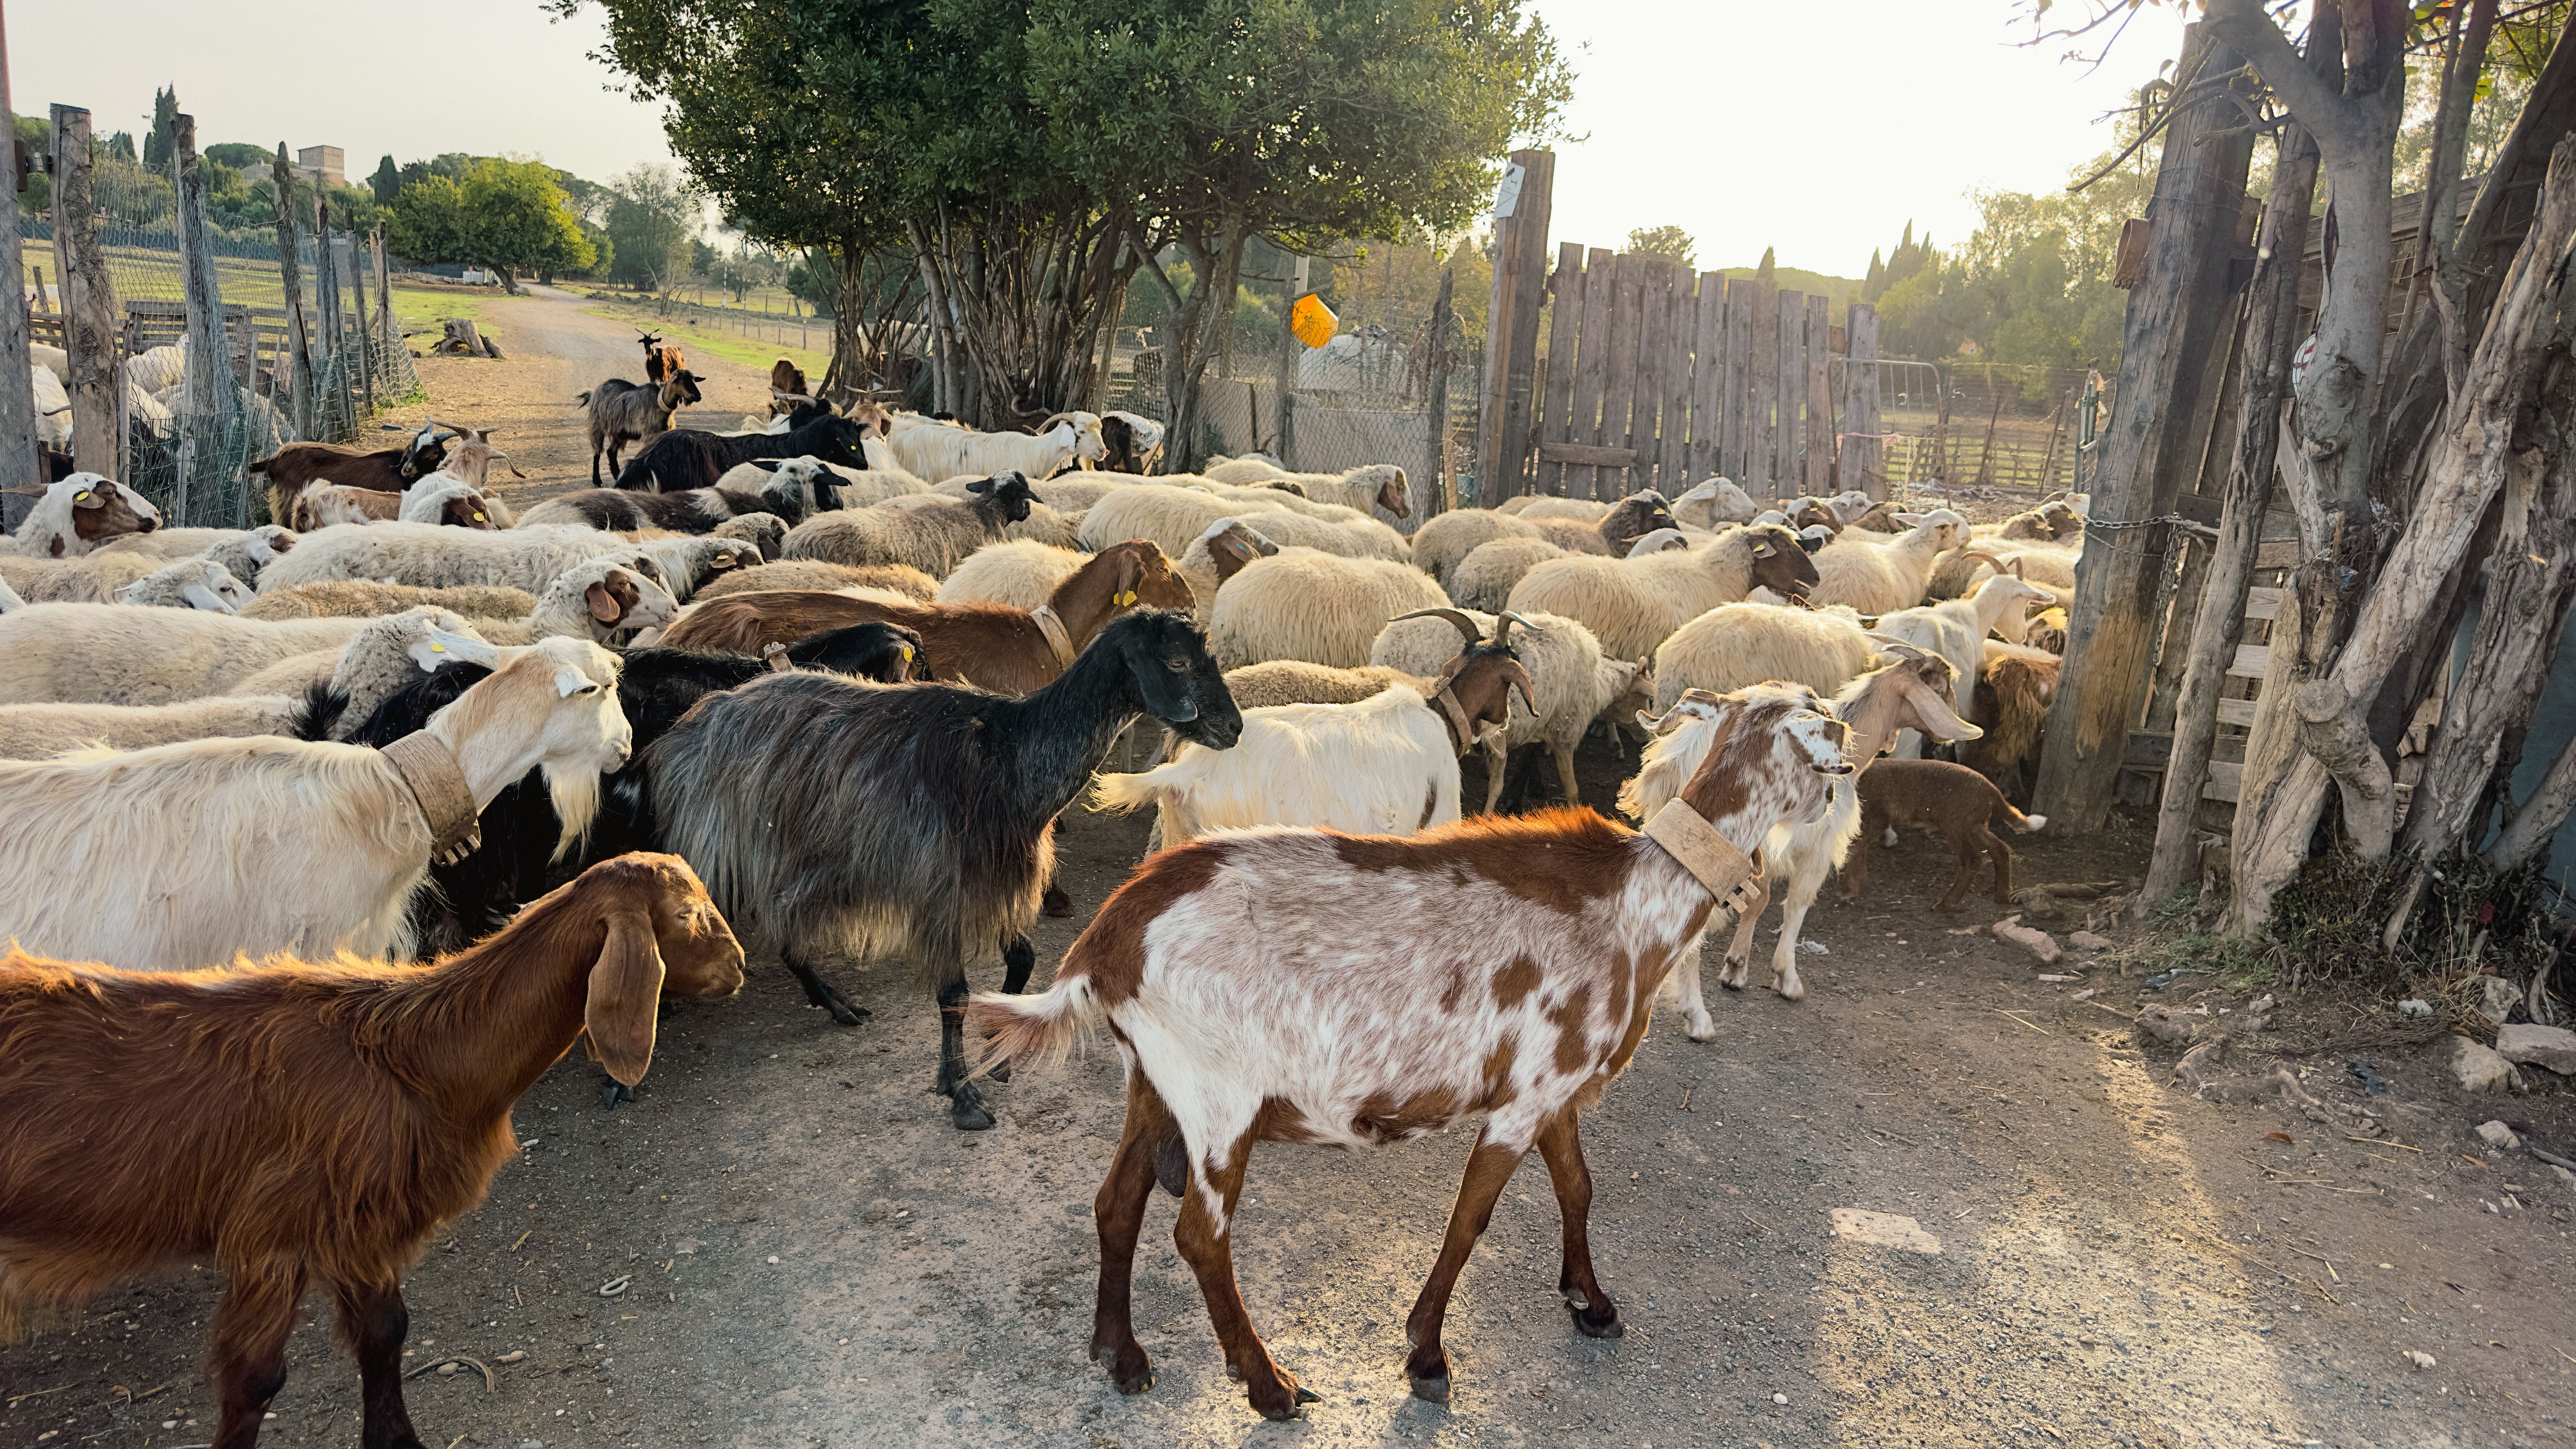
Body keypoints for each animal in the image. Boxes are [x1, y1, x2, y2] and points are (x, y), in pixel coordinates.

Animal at [0, 853, 744, 1449]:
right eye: (687, 913)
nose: (738, 965)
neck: (414, 1055)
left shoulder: (360, 1224)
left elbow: (386, 1334)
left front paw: (397, 1441)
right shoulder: (275, 1233)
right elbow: (255, 1382)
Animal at [580, 371, 704, 484]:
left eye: (694, 380)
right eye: (683, 381)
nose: (698, 396)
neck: (659, 403)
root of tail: (595, 392)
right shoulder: (649, 435)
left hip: (620, 432)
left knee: (611, 451)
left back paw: (617, 475)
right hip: (597, 425)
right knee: (597, 452)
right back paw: (597, 481)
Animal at [649, 610, 1243, 1130]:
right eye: (1178, 663)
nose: (1234, 729)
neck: (1010, 753)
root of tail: (704, 716)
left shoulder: (995, 879)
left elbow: (1023, 961)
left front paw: (996, 1056)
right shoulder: (942, 885)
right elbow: (953, 994)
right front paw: (962, 1095)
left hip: (821, 854)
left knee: (788, 924)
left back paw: (836, 1003)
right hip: (745, 842)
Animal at [966, 684, 1850, 1417]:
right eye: (1817, 730)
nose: (1841, 772)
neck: (1638, 900)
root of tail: (1105, 942)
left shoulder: (1555, 1086)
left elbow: (1579, 1189)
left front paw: (1592, 1305)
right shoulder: (1525, 1097)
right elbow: (1471, 1218)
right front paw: (1427, 1357)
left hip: (1155, 1080)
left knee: (1116, 1203)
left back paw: (1123, 1357)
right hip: (1220, 1097)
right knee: (1200, 1236)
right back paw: (1269, 1385)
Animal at [1844, 759, 2047, 912]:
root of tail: (1992, 791)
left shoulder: (1876, 816)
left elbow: (1855, 847)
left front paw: (1849, 891)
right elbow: (1858, 848)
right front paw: (1859, 884)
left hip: (1957, 824)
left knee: (1973, 859)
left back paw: (1945, 904)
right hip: (1974, 824)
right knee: (2000, 849)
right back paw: (2002, 895)